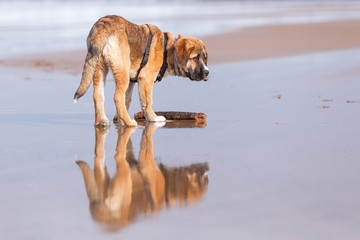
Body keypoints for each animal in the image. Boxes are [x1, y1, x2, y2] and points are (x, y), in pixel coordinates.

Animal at [73, 14, 208, 127]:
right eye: (195, 58)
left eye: (204, 58)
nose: (207, 73)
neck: (167, 49)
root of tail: (104, 23)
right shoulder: (146, 79)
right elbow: (147, 102)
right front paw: (153, 118)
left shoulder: (132, 82)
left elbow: (127, 100)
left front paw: (119, 118)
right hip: (122, 72)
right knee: (117, 97)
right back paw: (129, 123)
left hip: (99, 68)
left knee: (98, 95)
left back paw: (101, 122)